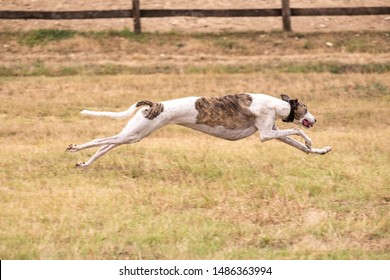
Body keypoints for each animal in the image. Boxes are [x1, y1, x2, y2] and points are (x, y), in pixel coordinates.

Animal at [67, 94, 332, 168]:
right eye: (306, 108)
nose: (315, 119)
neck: (276, 104)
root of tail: (154, 104)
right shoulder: (266, 134)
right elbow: (297, 131)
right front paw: (309, 140)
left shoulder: (273, 132)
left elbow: (299, 145)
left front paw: (320, 149)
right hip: (135, 134)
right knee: (100, 139)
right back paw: (74, 147)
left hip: (133, 135)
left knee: (106, 145)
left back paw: (84, 163)